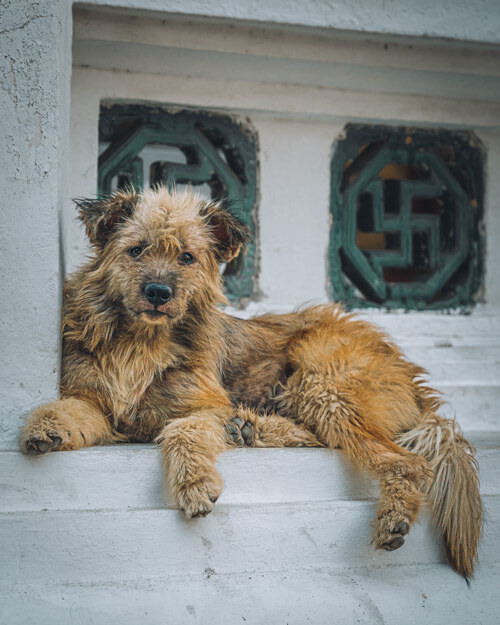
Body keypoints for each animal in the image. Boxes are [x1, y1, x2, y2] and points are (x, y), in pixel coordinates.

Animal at [21, 186, 482, 580]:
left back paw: (392, 517)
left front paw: (195, 484)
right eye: (136, 250)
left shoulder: (205, 406)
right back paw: (252, 428)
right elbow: (74, 409)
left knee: (406, 462)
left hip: (320, 381)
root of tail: (411, 376)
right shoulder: (95, 401)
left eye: (186, 257)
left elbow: (183, 431)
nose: (157, 292)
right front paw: (46, 426)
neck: (141, 341)